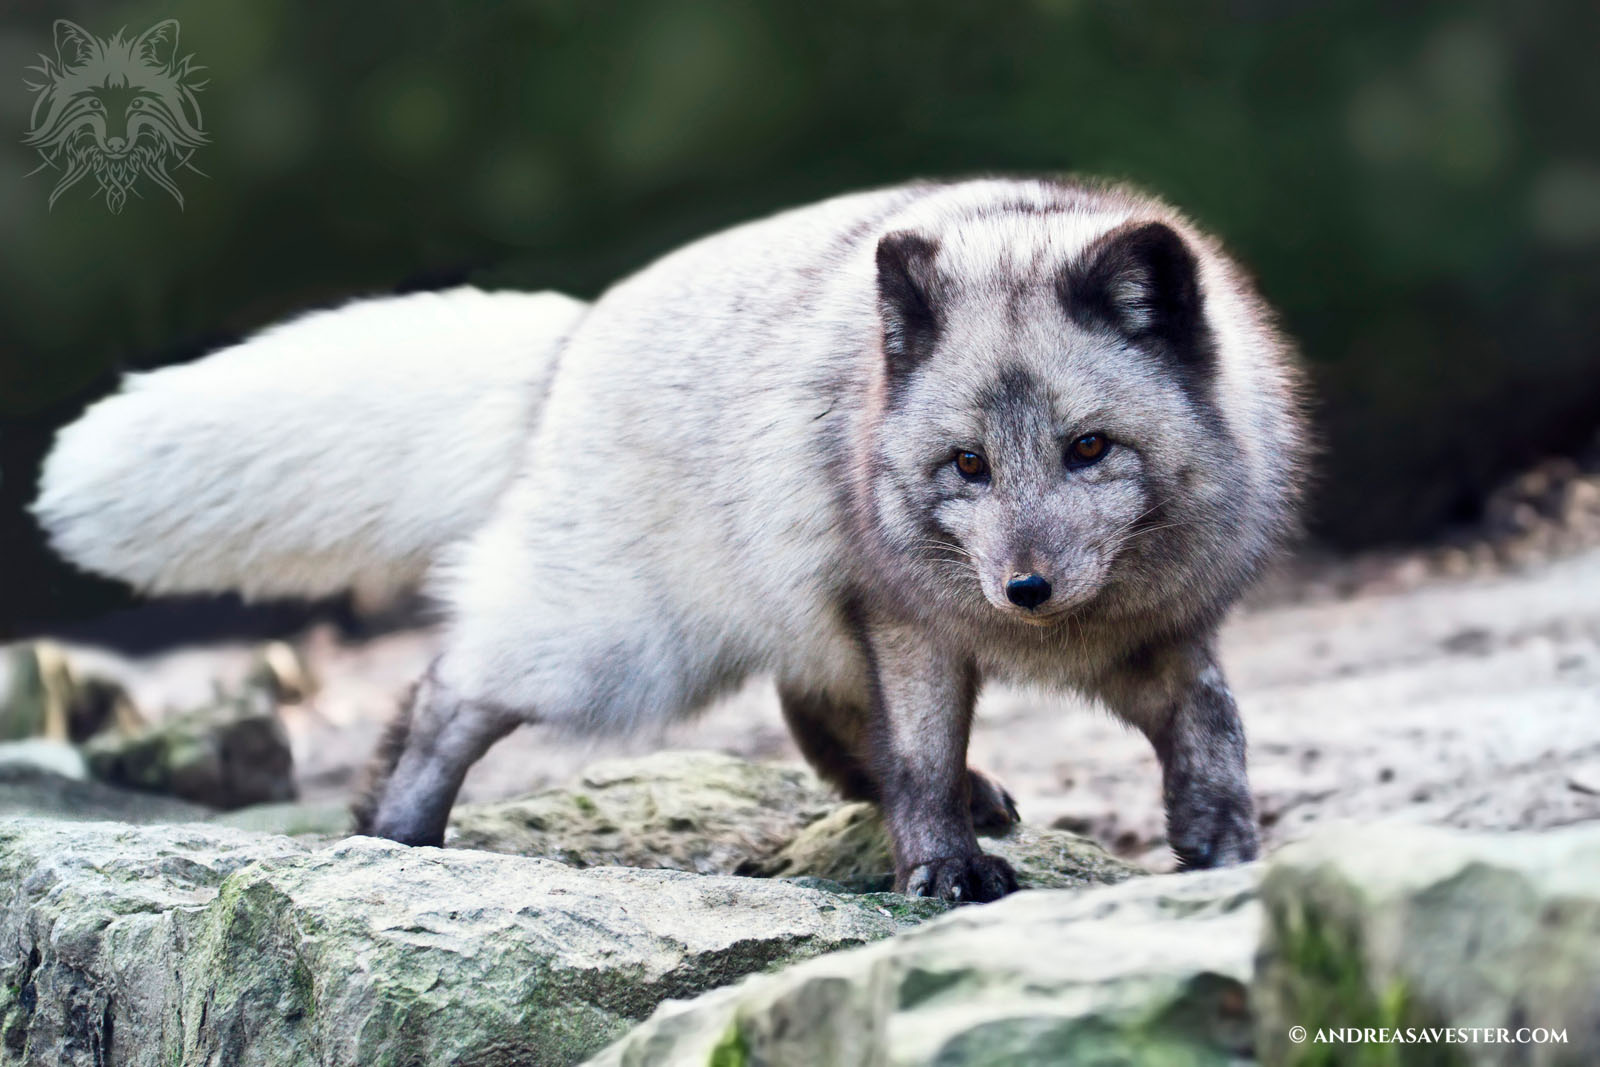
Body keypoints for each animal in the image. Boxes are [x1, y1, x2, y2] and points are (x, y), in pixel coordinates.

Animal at [37, 177, 1305, 902]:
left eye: (1090, 448)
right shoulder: (909, 620)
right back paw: (394, 827)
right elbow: (918, 753)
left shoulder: (1159, 634)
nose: (1024, 588)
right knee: (450, 683)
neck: (1058, 638)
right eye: (966, 465)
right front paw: (941, 865)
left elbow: (1214, 724)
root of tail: (577, 332)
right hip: (621, 648)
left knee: (812, 706)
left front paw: (1223, 844)